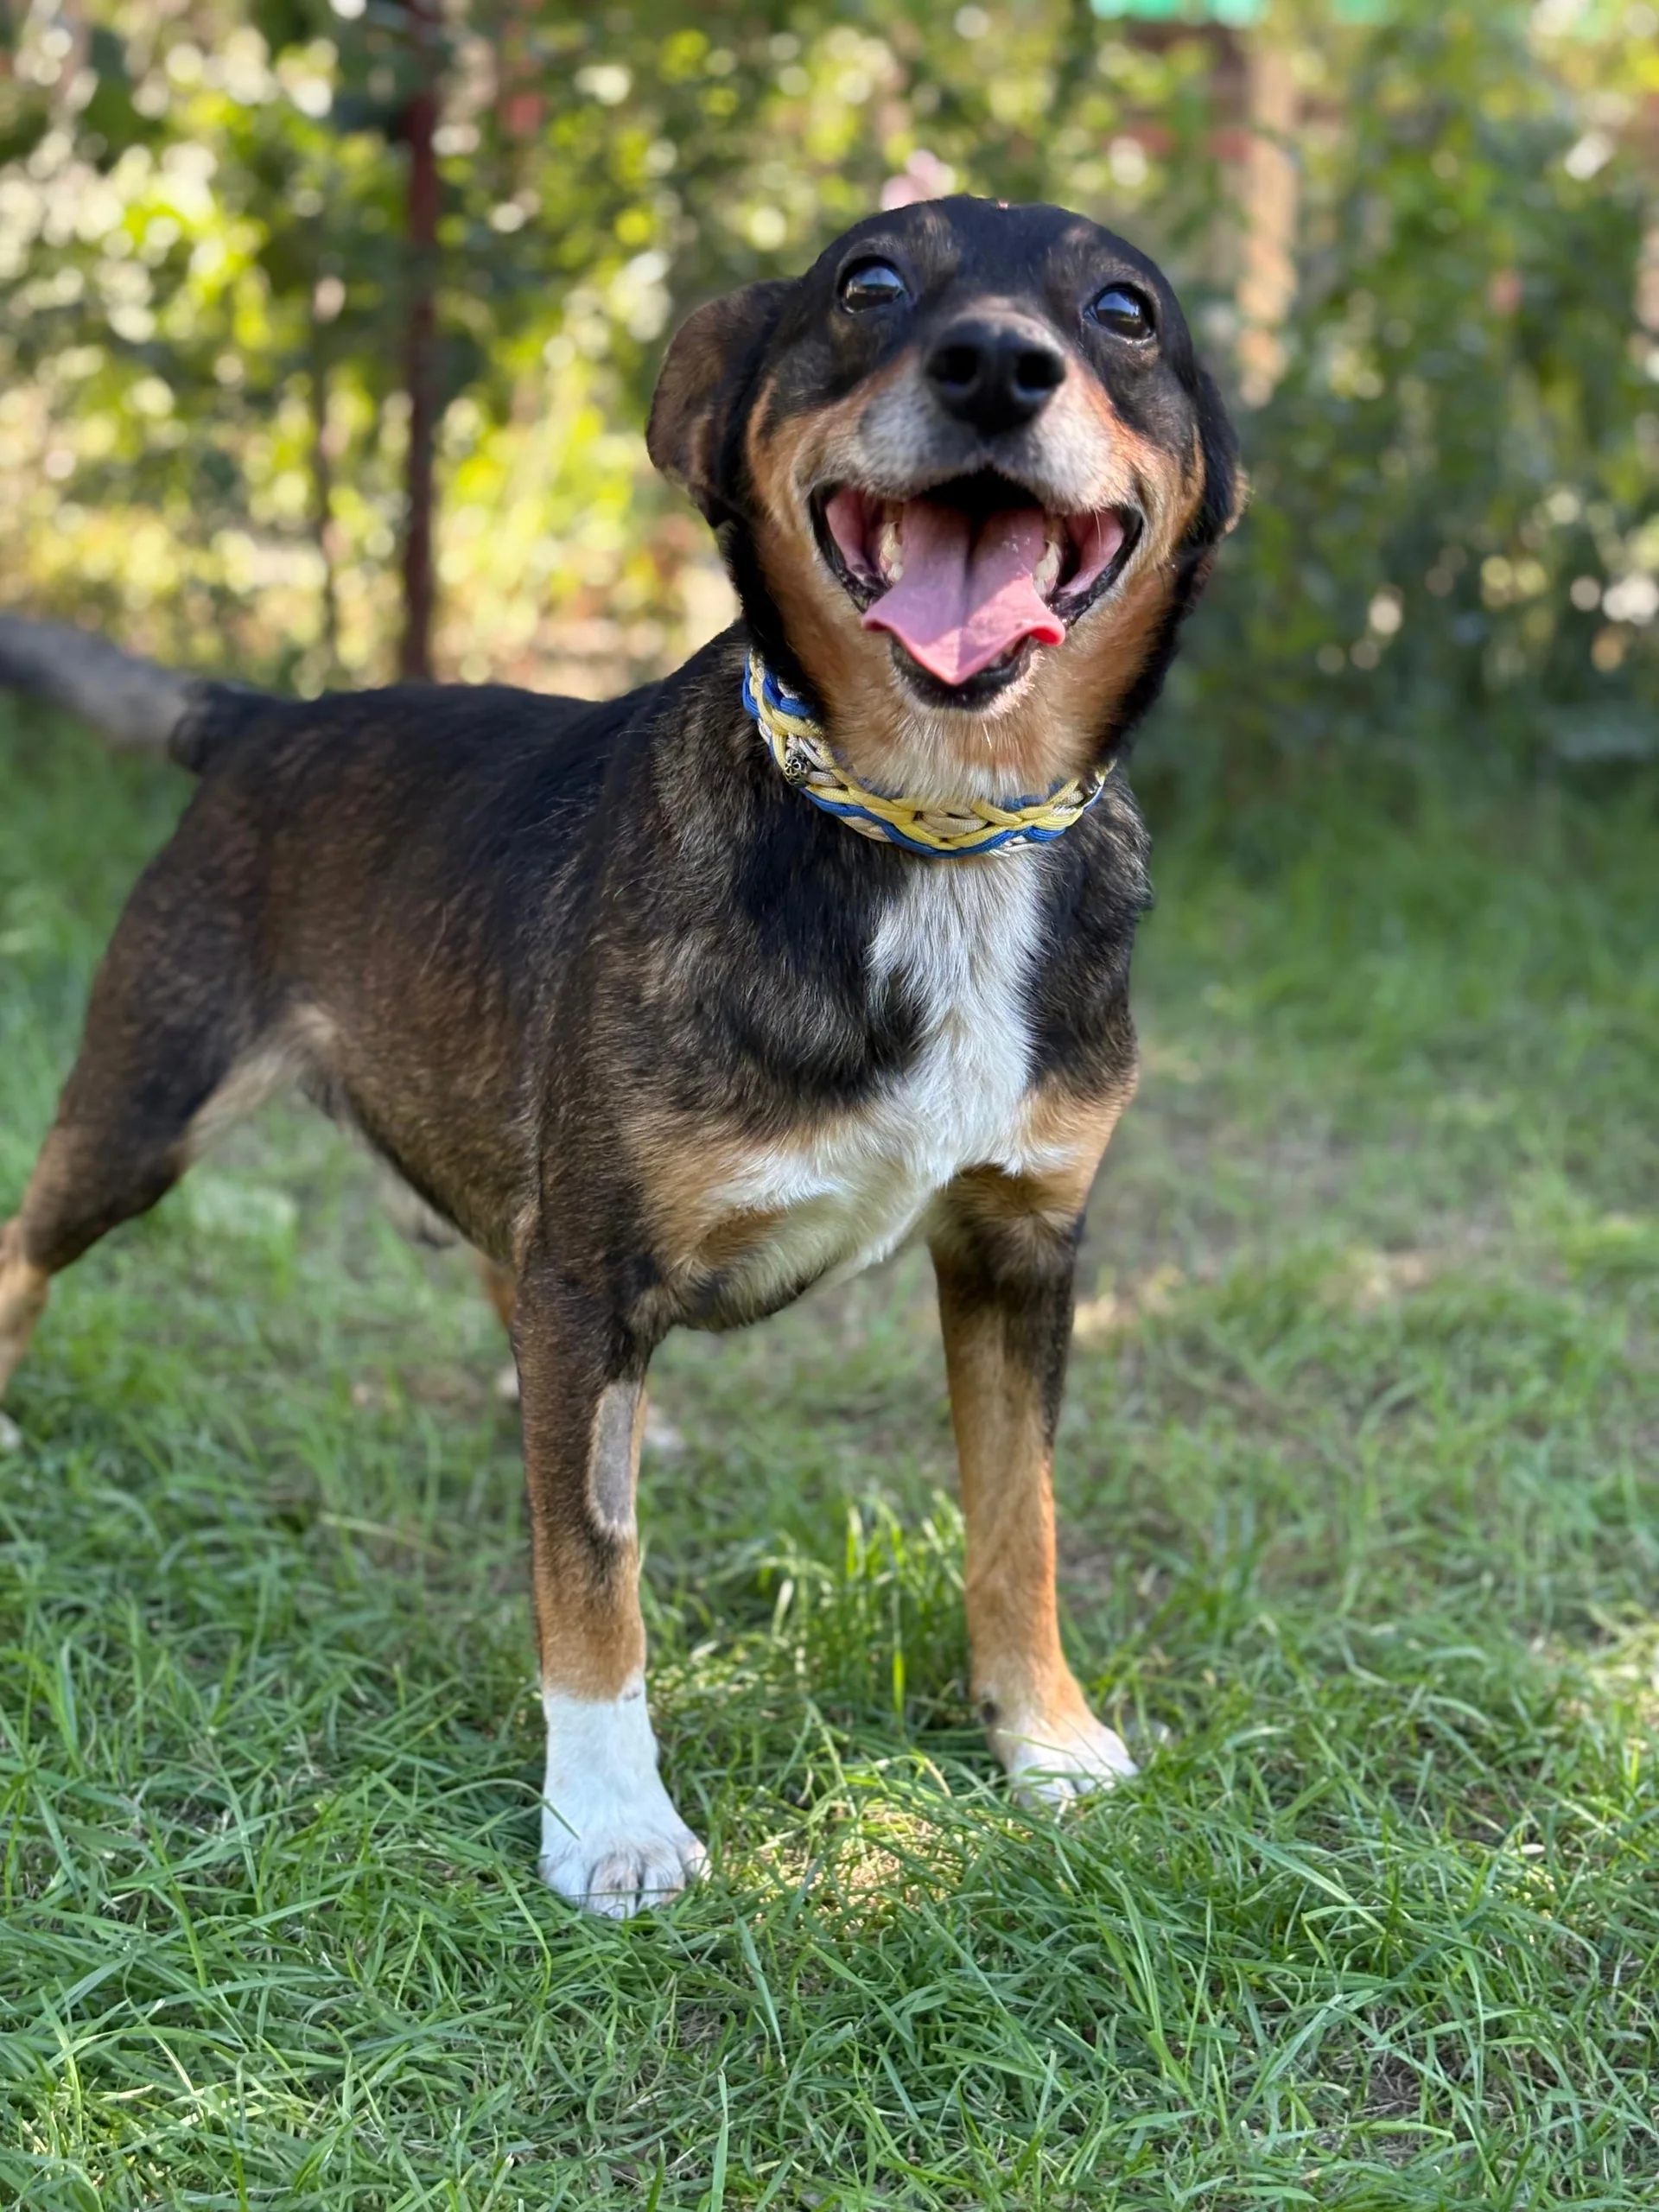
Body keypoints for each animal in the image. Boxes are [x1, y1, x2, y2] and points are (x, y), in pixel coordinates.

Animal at [0, 196, 1239, 1915]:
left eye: (1125, 310)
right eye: (867, 282)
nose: (997, 366)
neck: (931, 828)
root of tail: (259, 720)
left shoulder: (1020, 1249)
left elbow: (1019, 1521)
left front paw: (1043, 1738)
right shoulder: (592, 1270)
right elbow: (595, 1577)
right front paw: (608, 1818)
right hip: (141, 1114)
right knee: (25, 1244)